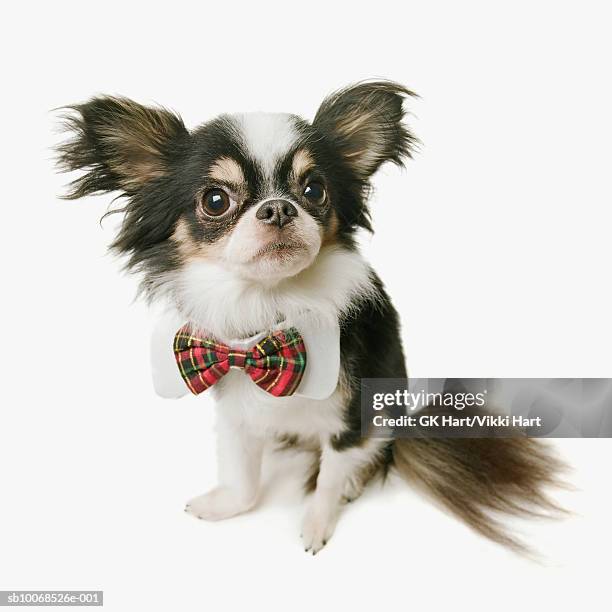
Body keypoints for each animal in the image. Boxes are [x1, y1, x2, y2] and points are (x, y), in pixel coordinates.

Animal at [57, 81, 564, 556]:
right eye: (216, 200)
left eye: (314, 190)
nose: (279, 207)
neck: (271, 312)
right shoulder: (236, 409)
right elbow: (242, 478)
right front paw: (226, 505)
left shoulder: (351, 416)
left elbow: (328, 480)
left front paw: (318, 524)